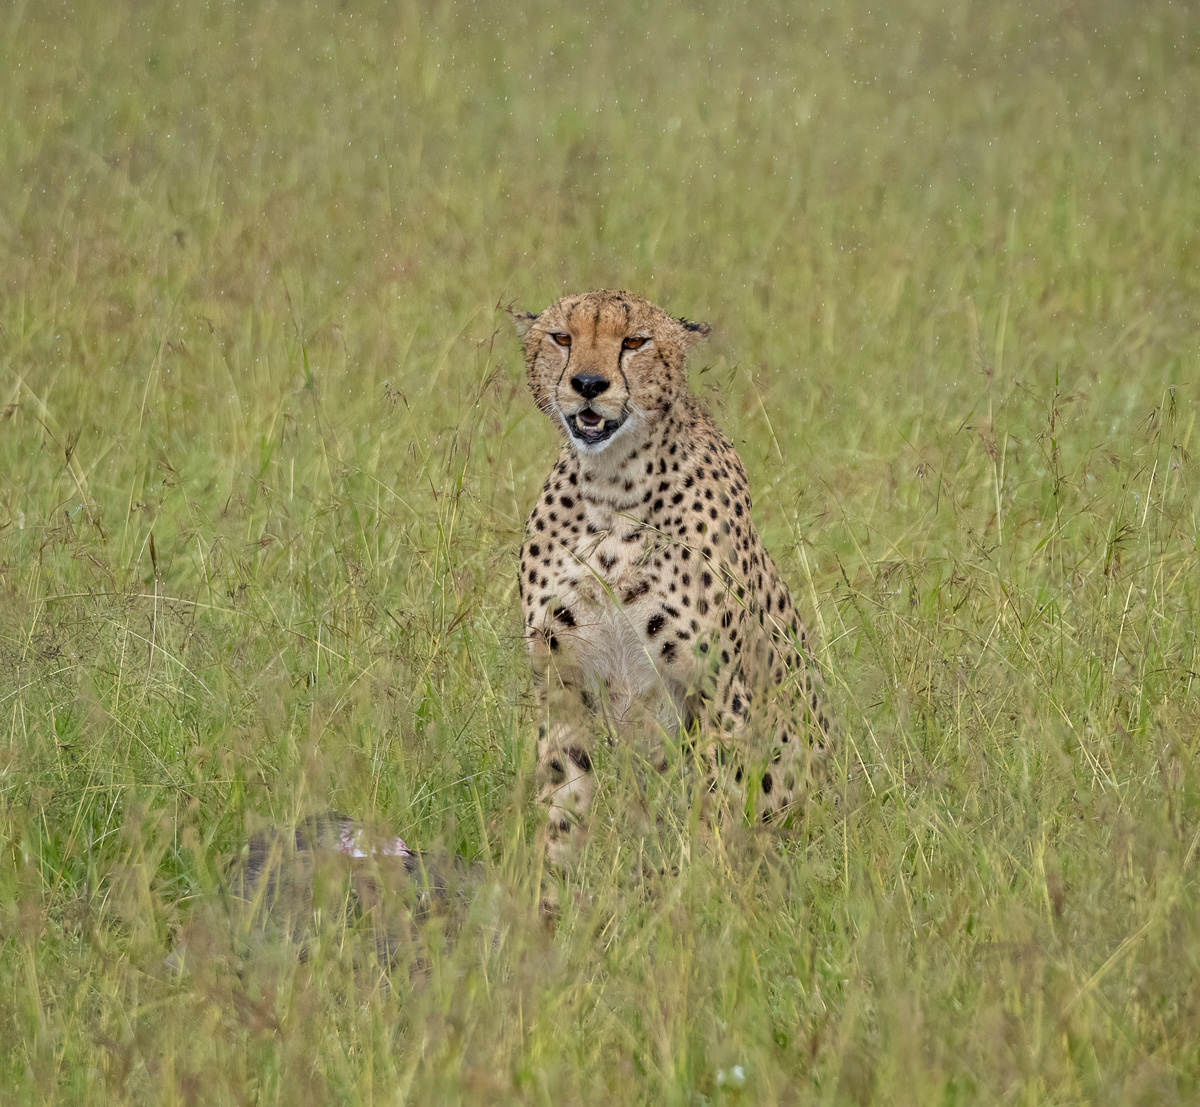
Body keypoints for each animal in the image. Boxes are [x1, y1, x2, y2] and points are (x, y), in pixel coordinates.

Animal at [513, 289, 834, 870]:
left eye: (634, 342)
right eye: (562, 337)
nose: (588, 384)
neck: (611, 486)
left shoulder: (718, 691)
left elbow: (715, 804)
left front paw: (701, 884)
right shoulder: (561, 679)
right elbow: (564, 801)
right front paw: (553, 884)